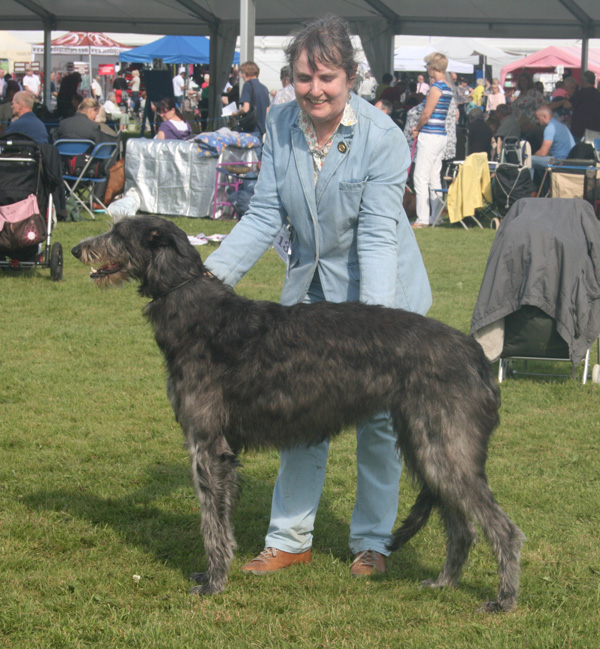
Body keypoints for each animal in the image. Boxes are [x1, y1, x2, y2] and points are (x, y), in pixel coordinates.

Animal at [72, 215, 524, 612]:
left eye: (118, 233)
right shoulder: (223, 452)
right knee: (463, 528)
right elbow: (223, 517)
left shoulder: (206, 444)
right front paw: (217, 572)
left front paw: (214, 582)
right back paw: (444, 583)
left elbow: (210, 522)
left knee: (503, 529)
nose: (77, 248)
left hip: (443, 448)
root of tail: (475, 353)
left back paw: (503, 600)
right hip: (427, 448)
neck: (195, 309)